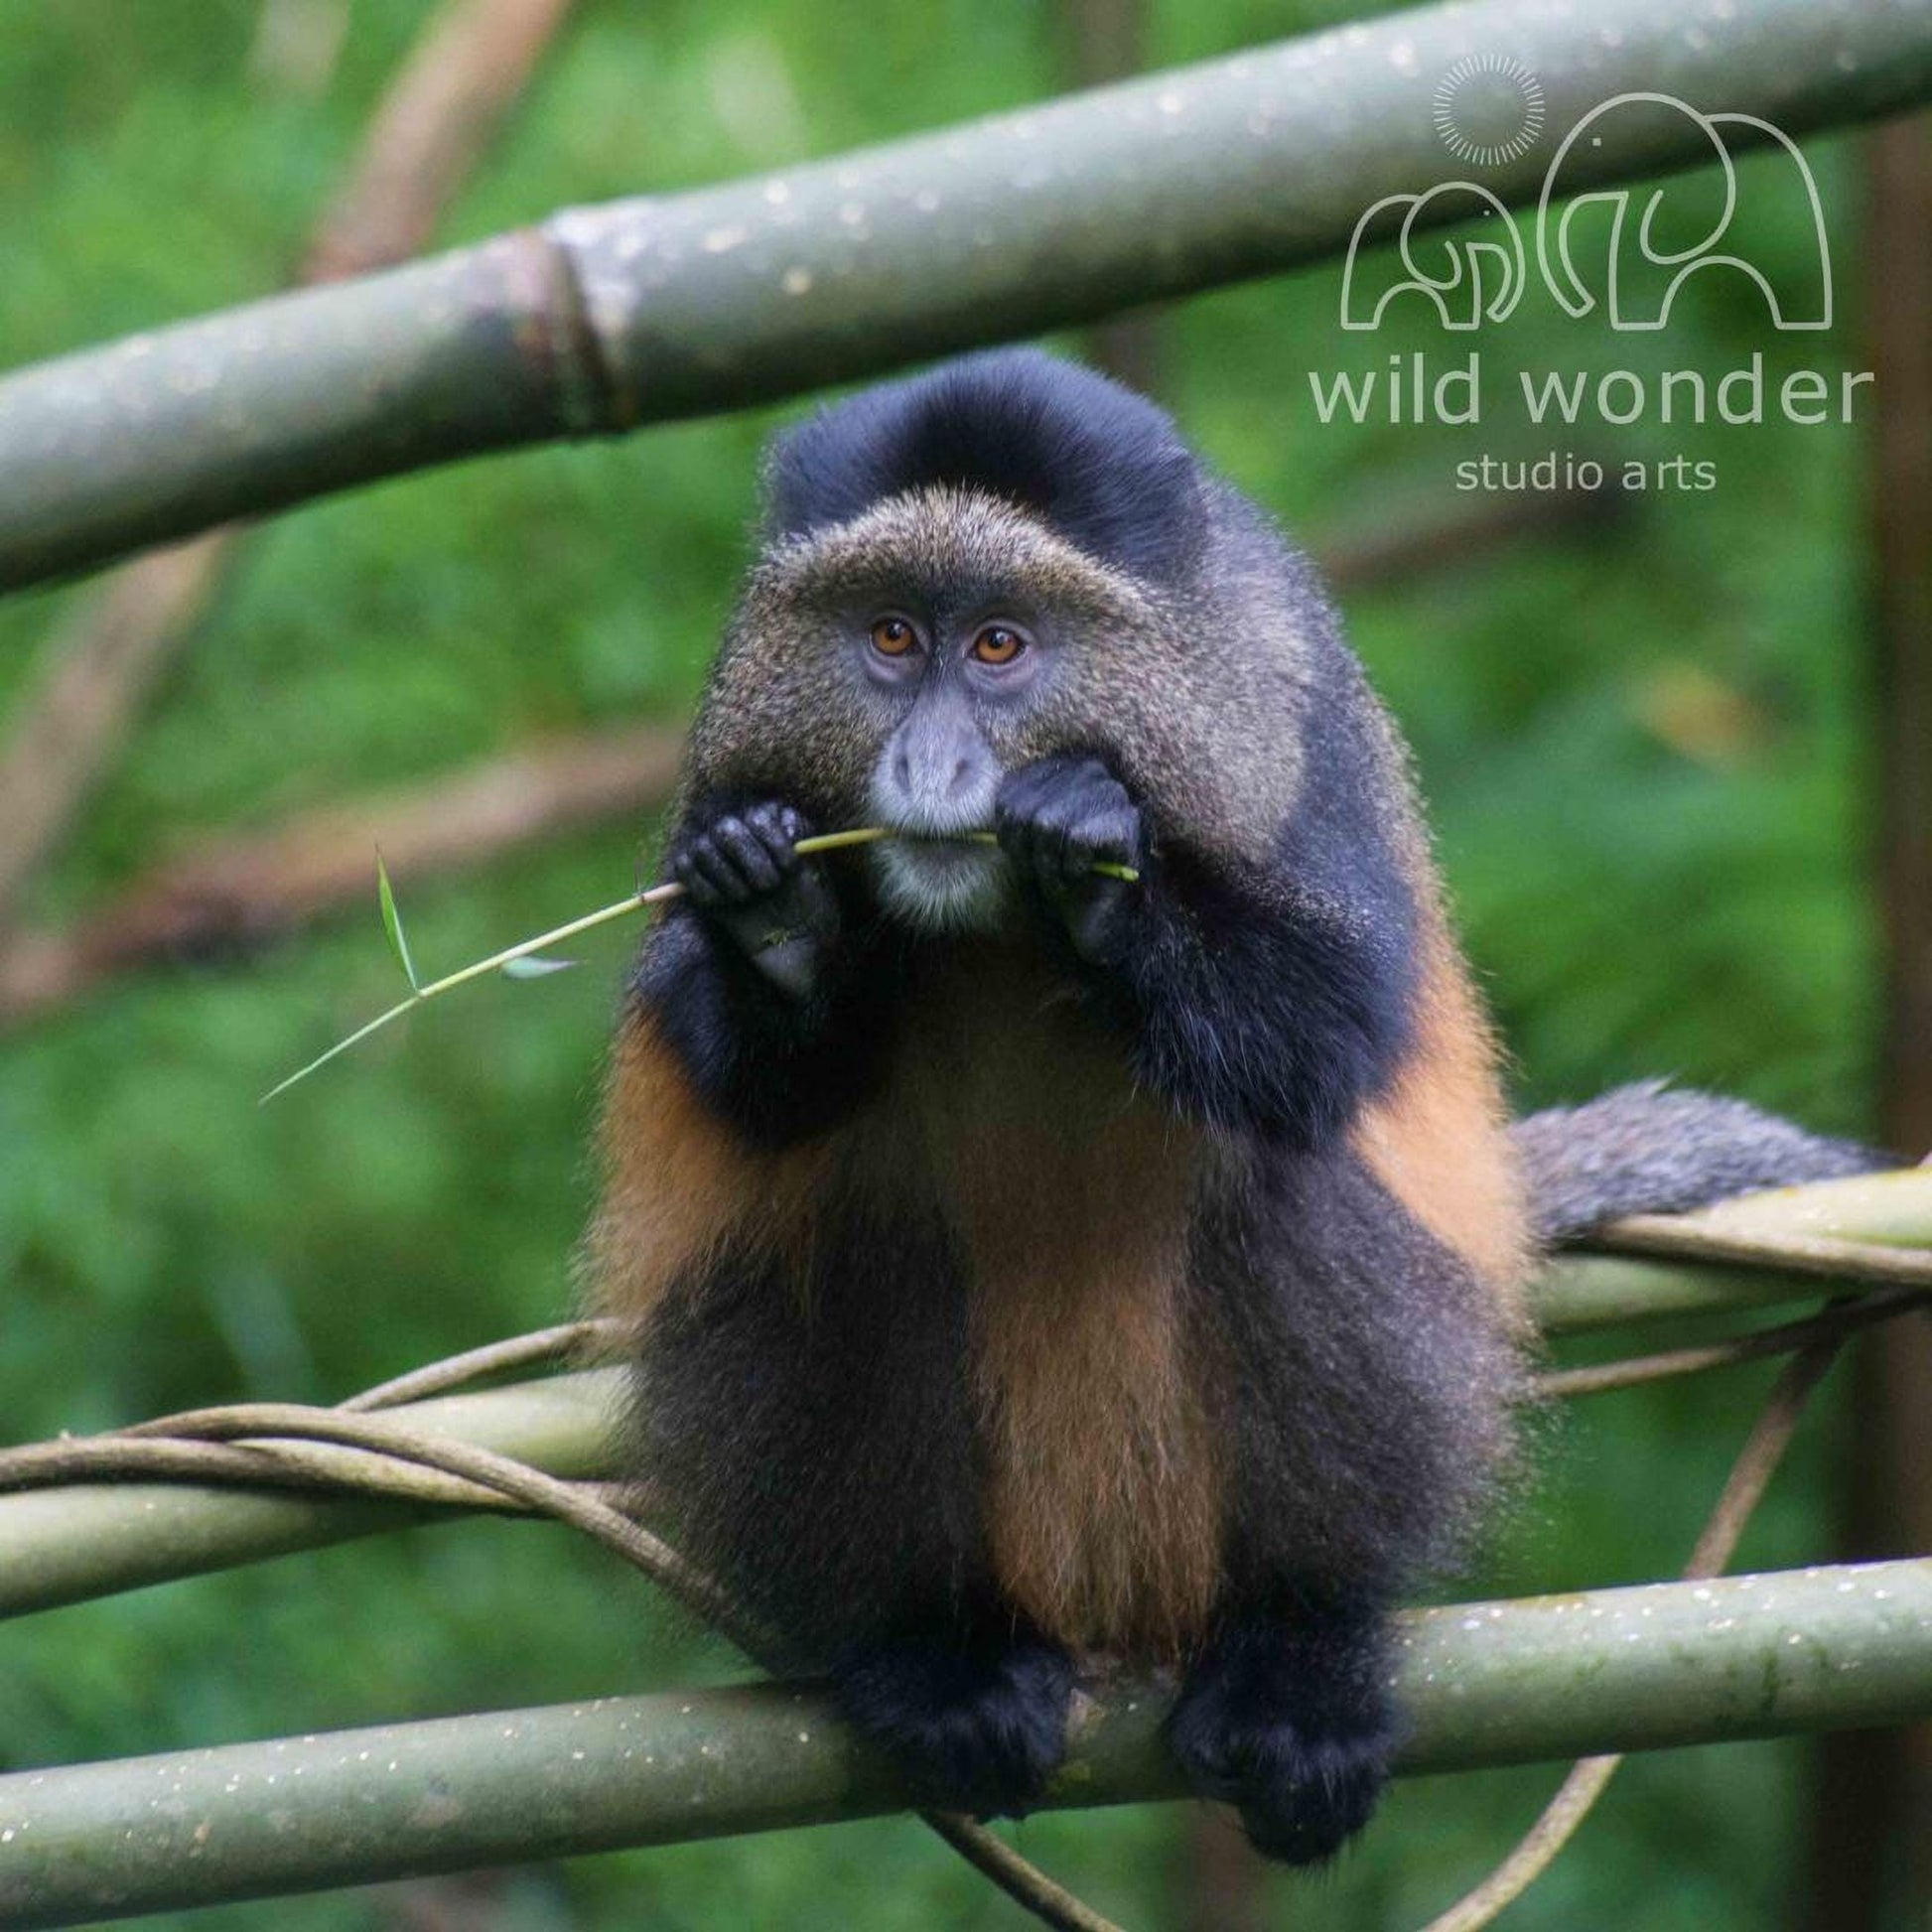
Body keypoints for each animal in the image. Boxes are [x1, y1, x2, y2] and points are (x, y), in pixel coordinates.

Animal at [587, 347, 1882, 1863]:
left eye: (999, 648)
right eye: (891, 636)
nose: (928, 768)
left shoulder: (1289, 700)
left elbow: (1332, 1032)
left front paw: (1092, 859)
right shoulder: (725, 752)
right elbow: (761, 1089)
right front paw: (781, 919)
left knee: (1280, 1183)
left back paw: (1297, 1654)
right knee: (861, 1231)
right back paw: (938, 1653)